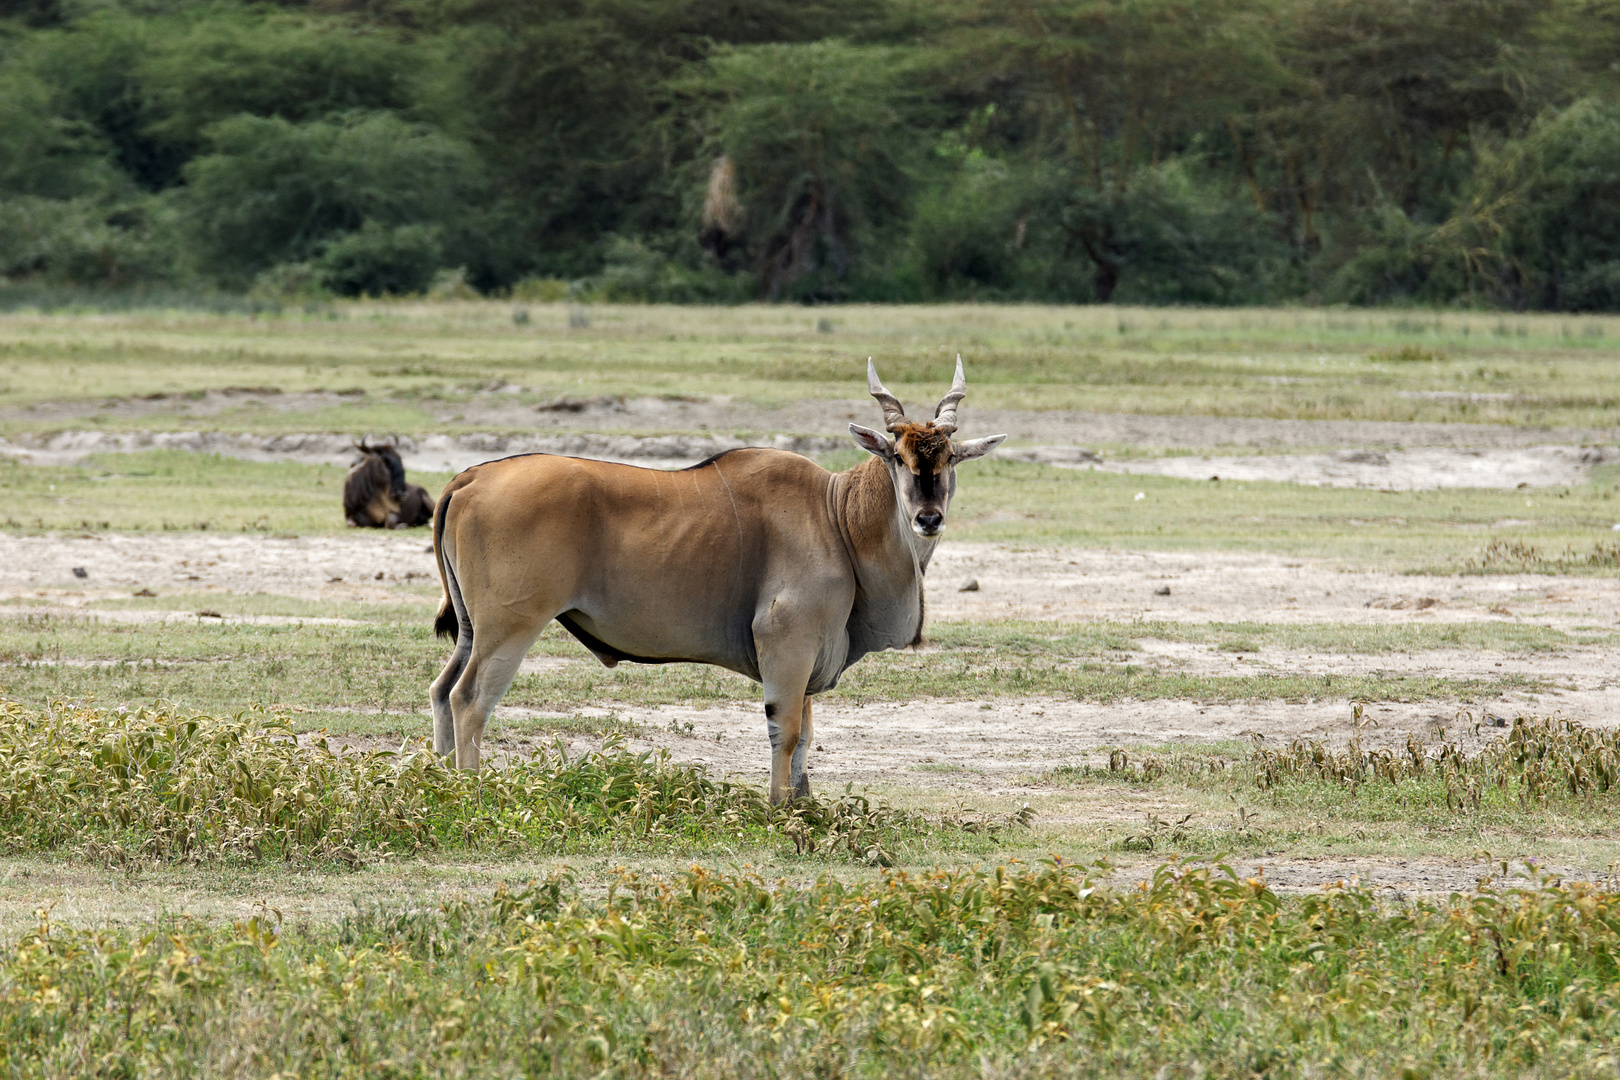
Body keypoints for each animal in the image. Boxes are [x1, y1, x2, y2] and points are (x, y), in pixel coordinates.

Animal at [427, 362, 997, 803]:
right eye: (897, 457)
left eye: (948, 458)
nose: (928, 518)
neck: (836, 516)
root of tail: (471, 476)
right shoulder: (786, 644)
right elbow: (787, 731)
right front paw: (779, 808)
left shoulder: (810, 653)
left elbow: (807, 734)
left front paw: (804, 805)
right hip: (511, 627)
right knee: (469, 700)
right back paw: (470, 793)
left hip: (473, 629)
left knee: (441, 690)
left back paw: (437, 787)